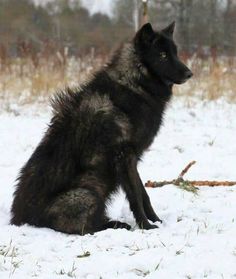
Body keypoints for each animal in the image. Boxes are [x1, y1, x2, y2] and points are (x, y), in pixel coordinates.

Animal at [10, 21, 192, 235]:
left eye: (175, 53)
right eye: (162, 55)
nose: (190, 73)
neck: (133, 85)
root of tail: (20, 219)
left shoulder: (132, 158)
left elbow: (144, 193)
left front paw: (157, 220)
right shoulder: (124, 156)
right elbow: (135, 196)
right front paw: (146, 226)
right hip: (89, 192)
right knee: (87, 227)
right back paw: (116, 225)